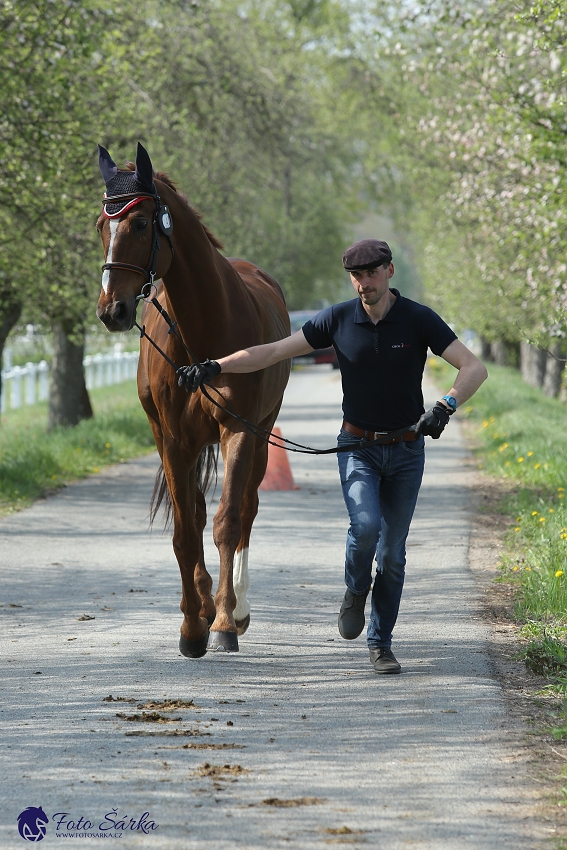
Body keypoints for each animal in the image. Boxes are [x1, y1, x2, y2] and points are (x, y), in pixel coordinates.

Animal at [96, 144, 290, 656]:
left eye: (141, 223)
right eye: (102, 224)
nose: (111, 310)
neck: (205, 330)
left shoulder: (238, 429)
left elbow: (227, 522)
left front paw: (222, 622)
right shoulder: (174, 440)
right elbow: (186, 531)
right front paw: (191, 625)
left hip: (262, 433)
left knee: (245, 508)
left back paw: (236, 608)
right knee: (199, 513)